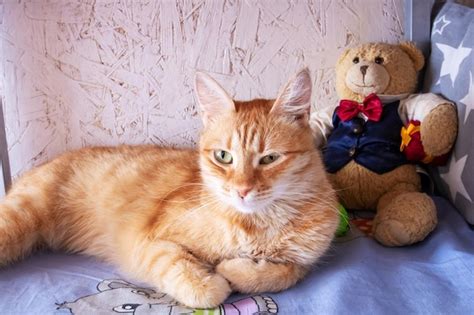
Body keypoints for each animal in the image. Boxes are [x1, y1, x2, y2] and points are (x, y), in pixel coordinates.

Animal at [0, 69, 338, 308]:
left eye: (269, 159)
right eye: (223, 156)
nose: (241, 191)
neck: (257, 225)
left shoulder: (306, 260)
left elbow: (284, 273)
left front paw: (237, 269)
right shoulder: (147, 242)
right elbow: (184, 271)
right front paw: (213, 281)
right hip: (18, 219)